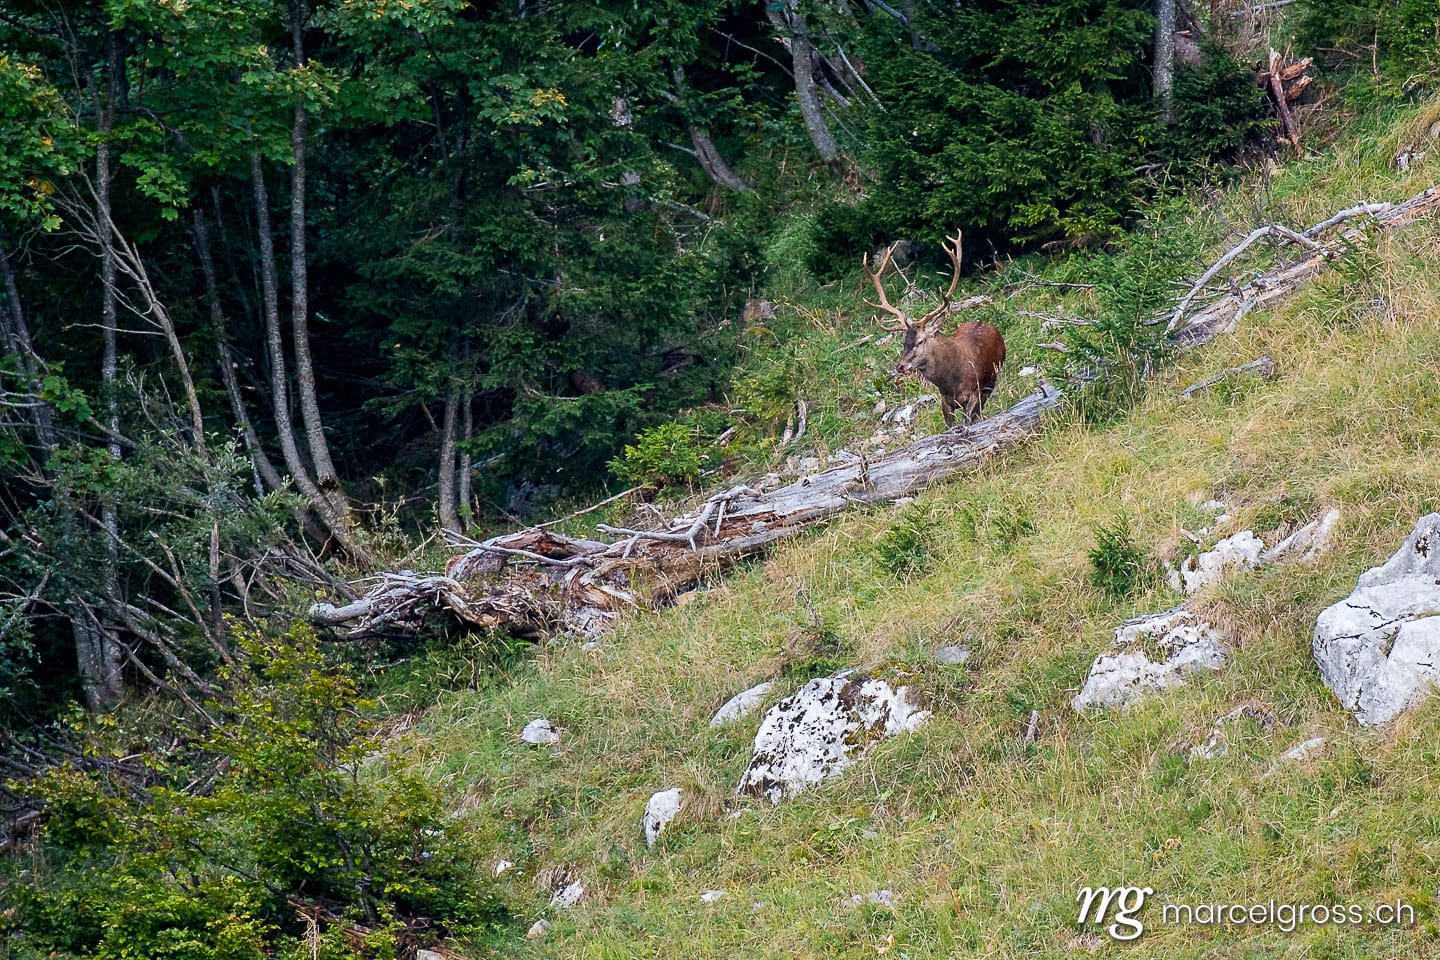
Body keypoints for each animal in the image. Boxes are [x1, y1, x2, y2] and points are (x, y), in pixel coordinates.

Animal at [864, 231, 1005, 429]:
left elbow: (968, 421)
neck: (951, 382)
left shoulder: (974, 393)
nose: (900, 366)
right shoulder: (945, 401)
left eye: (921, 340)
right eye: (904, 342)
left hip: (991, 380)